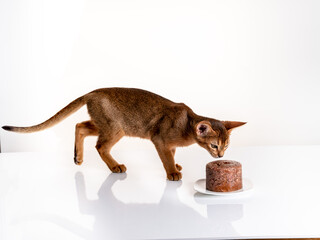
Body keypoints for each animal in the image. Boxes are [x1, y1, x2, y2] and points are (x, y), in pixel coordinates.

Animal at [1, 87, 245, 180]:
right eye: (214, 145)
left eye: (226, 146)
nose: (221, 156)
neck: (187, 124)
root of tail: (92, 92)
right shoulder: (160, 140)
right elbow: (166, 157)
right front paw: (172, 172)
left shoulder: (171, 144)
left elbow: (173, 154)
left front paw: (176, 165)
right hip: (115, 128)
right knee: (100, 146)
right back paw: (115, 166)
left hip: (106, 125)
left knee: (80, 125)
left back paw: (78, 157)